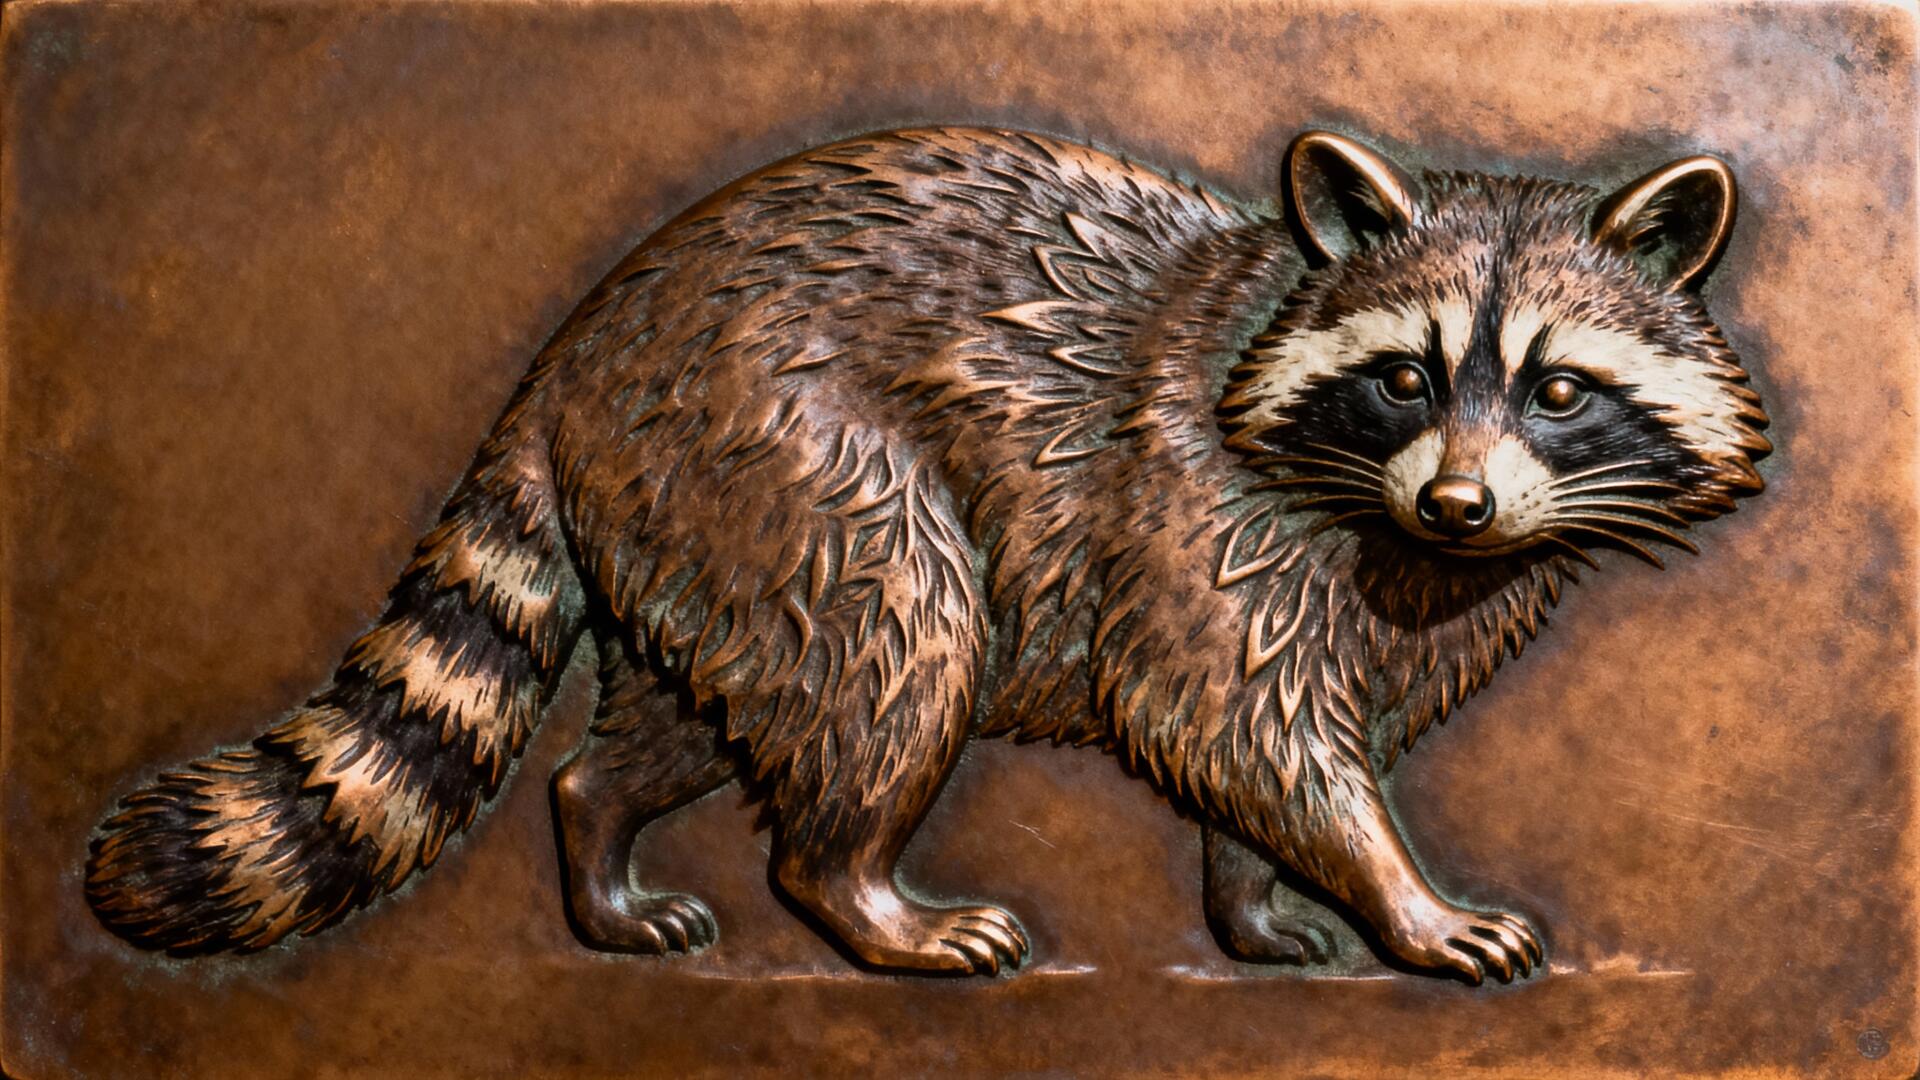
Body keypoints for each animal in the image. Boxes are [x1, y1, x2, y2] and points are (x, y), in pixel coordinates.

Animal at [85, 127, 1768, 984]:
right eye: (1406, 377)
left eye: (1559, 390)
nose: (1460, 507)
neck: (1387, 527)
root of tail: (579, 346)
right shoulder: (1206, 513)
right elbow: (1235, 719)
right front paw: (1397, 893)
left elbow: (1260, 753)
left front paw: (1256, 899)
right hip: (787, 454)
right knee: (895, 647)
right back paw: (859, 893)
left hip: (695, 521)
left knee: (682, 713)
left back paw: (602, 840)